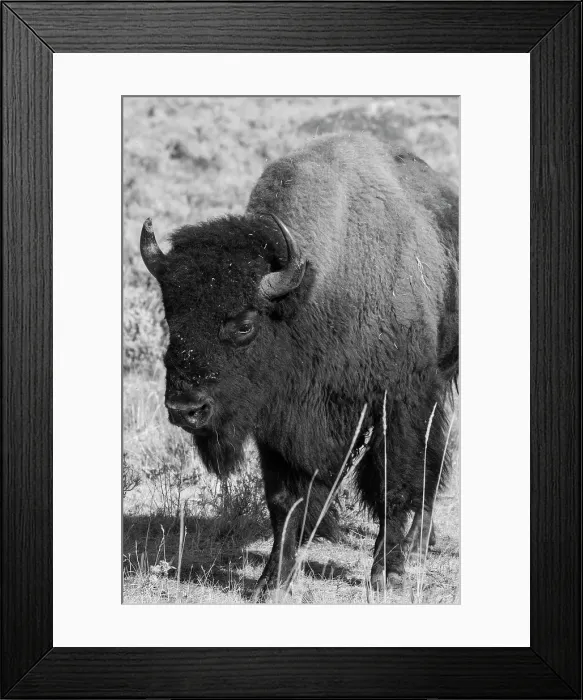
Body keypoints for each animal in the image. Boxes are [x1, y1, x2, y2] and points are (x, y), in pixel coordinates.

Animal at [140, 133, 458, 598]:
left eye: (244, 325)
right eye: (170, 317)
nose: (186, 409)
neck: (314, 293)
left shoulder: (398, 405)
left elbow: (392, 484)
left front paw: (387, 575)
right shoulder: (277, 418)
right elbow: (284, 499)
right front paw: (272, 581)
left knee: (432, 460)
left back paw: (415, 547)